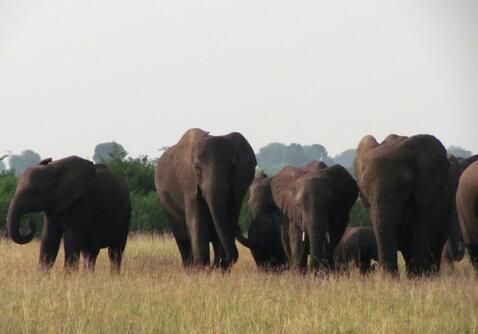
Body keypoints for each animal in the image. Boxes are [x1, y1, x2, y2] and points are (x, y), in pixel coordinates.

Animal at [155, 128, 256, 268]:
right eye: (197, 168)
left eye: (232, 167)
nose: (220, 262)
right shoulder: (189, 182)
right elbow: (197, 221)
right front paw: (201, 268)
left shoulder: (238, 186)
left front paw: (218, 268)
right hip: (166, 205)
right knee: (182, 239)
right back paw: (190, 268)